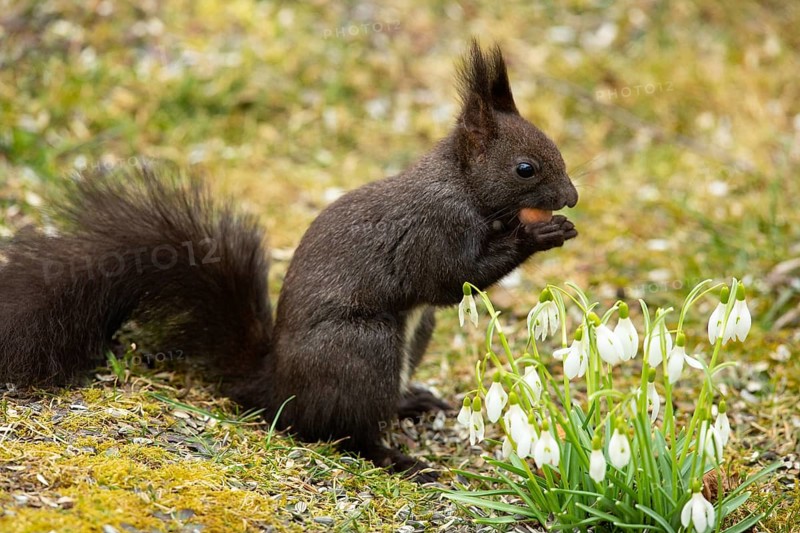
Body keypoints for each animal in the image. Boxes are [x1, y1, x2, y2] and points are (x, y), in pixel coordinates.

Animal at [0, 41, 578, 480]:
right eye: (525, 168)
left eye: (556, 147)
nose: (571, 198)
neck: (461, 185)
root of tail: (275, 386)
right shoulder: (431, 230)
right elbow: (452, 279)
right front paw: (541, 233)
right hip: (362, 349)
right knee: (345, 431)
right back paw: (398, 459)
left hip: (410, 339)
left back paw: (412, 403)